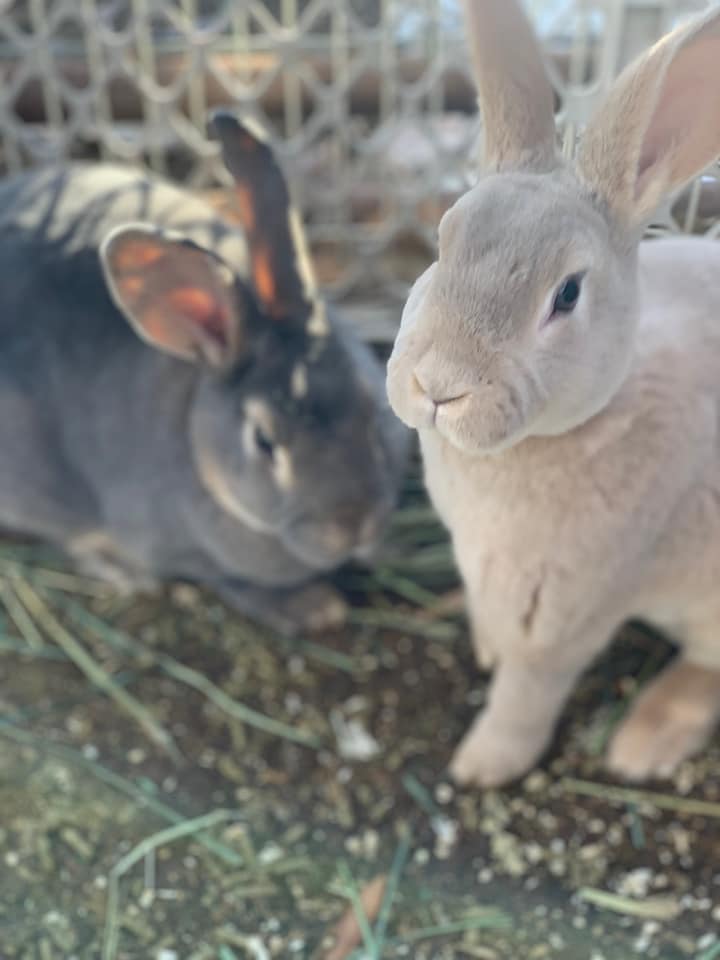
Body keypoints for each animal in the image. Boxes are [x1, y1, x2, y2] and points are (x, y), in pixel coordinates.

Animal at [0, 111, 409, 635]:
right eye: (264, 442)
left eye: (371, 408)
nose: (352, 524)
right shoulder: (183, 551)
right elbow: (229, 581)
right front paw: (315, 608)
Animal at [386, 0, 720, 787]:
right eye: (442, 241)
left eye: (567, 294)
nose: (437, 386)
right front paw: (480, 647)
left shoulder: (566, 608)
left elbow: (528, 687)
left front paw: (481, 766)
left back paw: (642, 744)